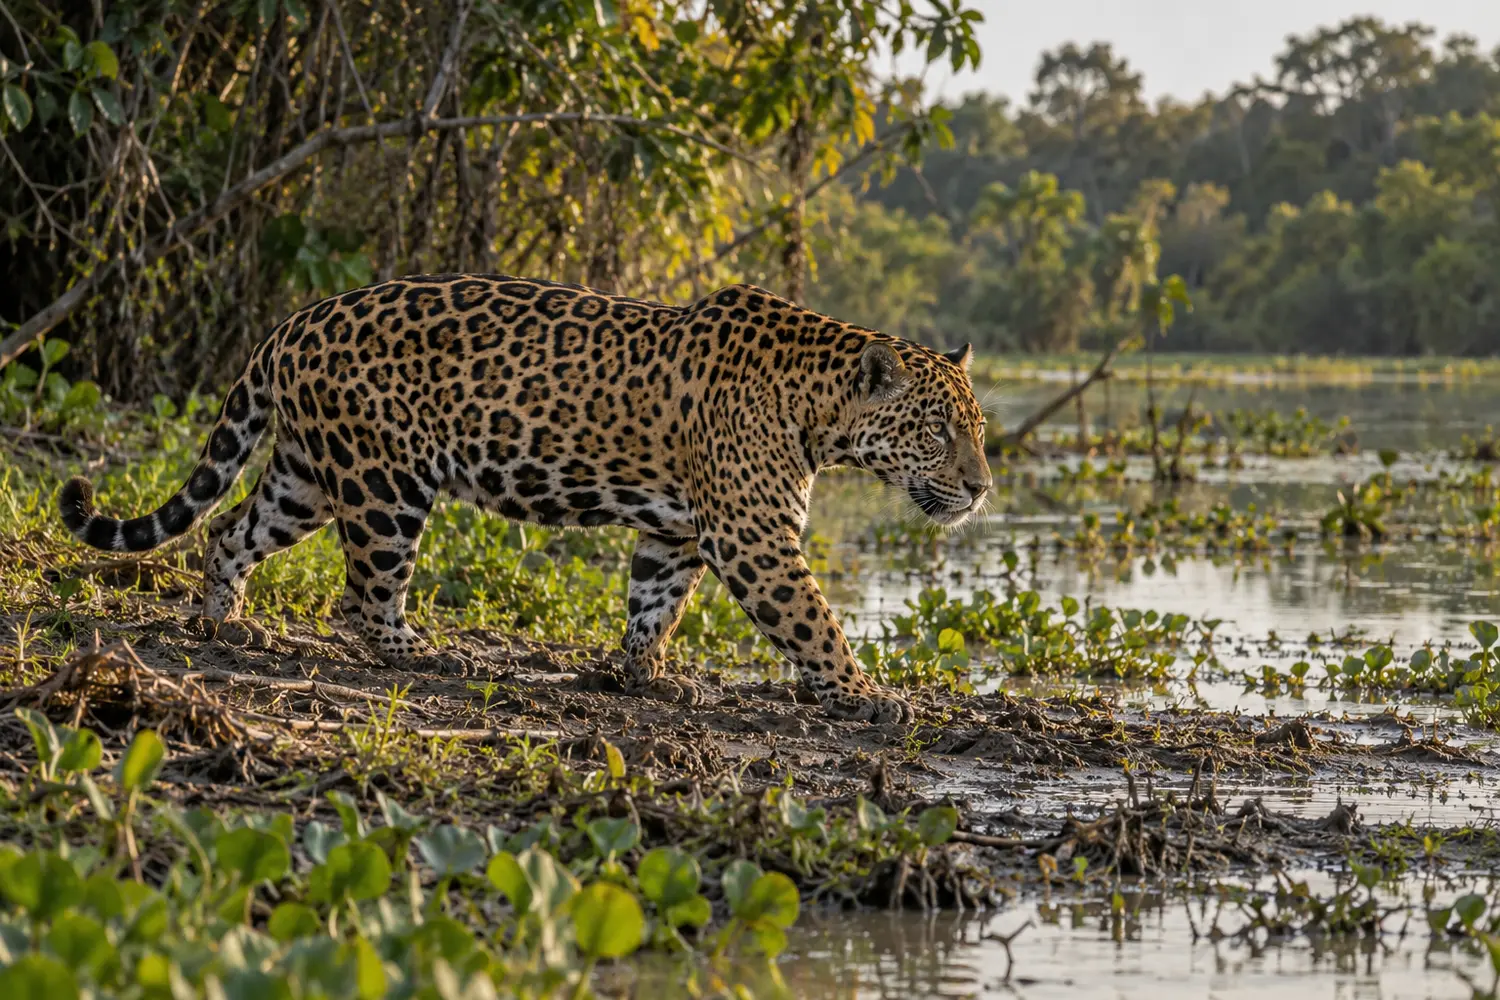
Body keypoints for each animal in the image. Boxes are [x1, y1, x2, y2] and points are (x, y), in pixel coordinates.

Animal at [57, 274, 991, 724]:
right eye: (938, 430)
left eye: (976, 427)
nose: (982, 488)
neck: (818, 403)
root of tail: (293, 322)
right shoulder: (755, 538)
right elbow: (814, 622)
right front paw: (866, 694)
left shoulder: (680, 532)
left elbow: (654, 602)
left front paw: (643, 677)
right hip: (385, 483)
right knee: (366, 594)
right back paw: (427, 654)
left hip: (307, 476)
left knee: (229, 531)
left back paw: (224, 623)